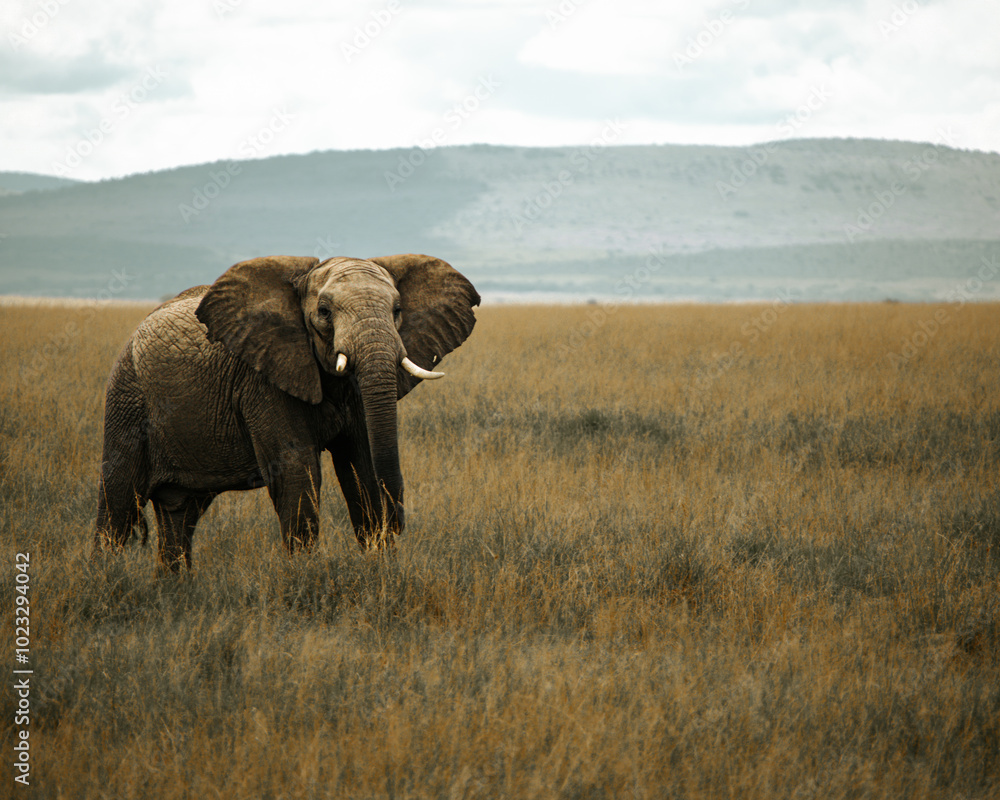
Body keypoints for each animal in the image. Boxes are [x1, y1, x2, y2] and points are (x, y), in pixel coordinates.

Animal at [94, 253, 479, 571]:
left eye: (398, 310)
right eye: (324, 312)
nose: (398, 521)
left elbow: (362, 469)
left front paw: (382, 568)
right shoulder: (263, 379)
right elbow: (297, 473)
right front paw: (305, 578)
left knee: (180, 514)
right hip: (128, 399)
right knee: (119, 504)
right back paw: (107, 578)